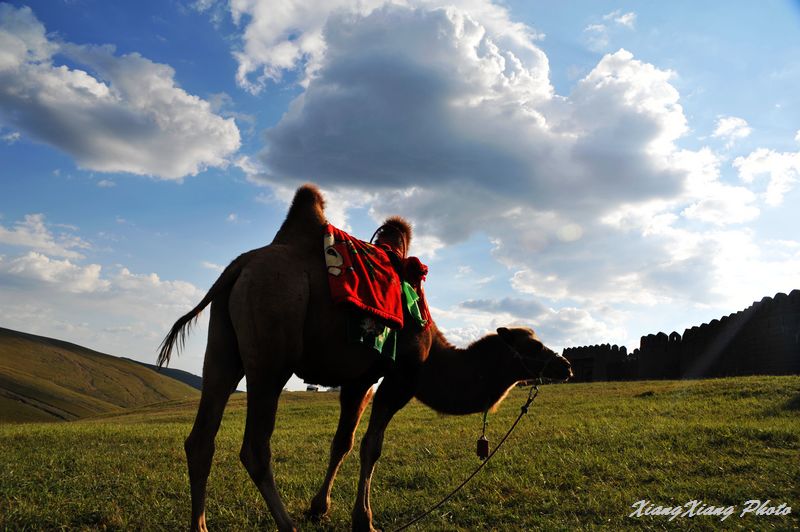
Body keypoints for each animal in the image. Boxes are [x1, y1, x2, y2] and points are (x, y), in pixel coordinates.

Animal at [158, 184, 568, 532]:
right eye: (532, 345)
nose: (564, 365)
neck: (433, 352)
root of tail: (239, 267)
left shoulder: (359, 379)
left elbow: (343, 442)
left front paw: (319, 508)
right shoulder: (400, 376)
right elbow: (372, 446)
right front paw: (364, 520)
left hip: (222, 347)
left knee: (201, 437)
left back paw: (201, 526)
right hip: (273, 346)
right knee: (255, 447)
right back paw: (286, 525)